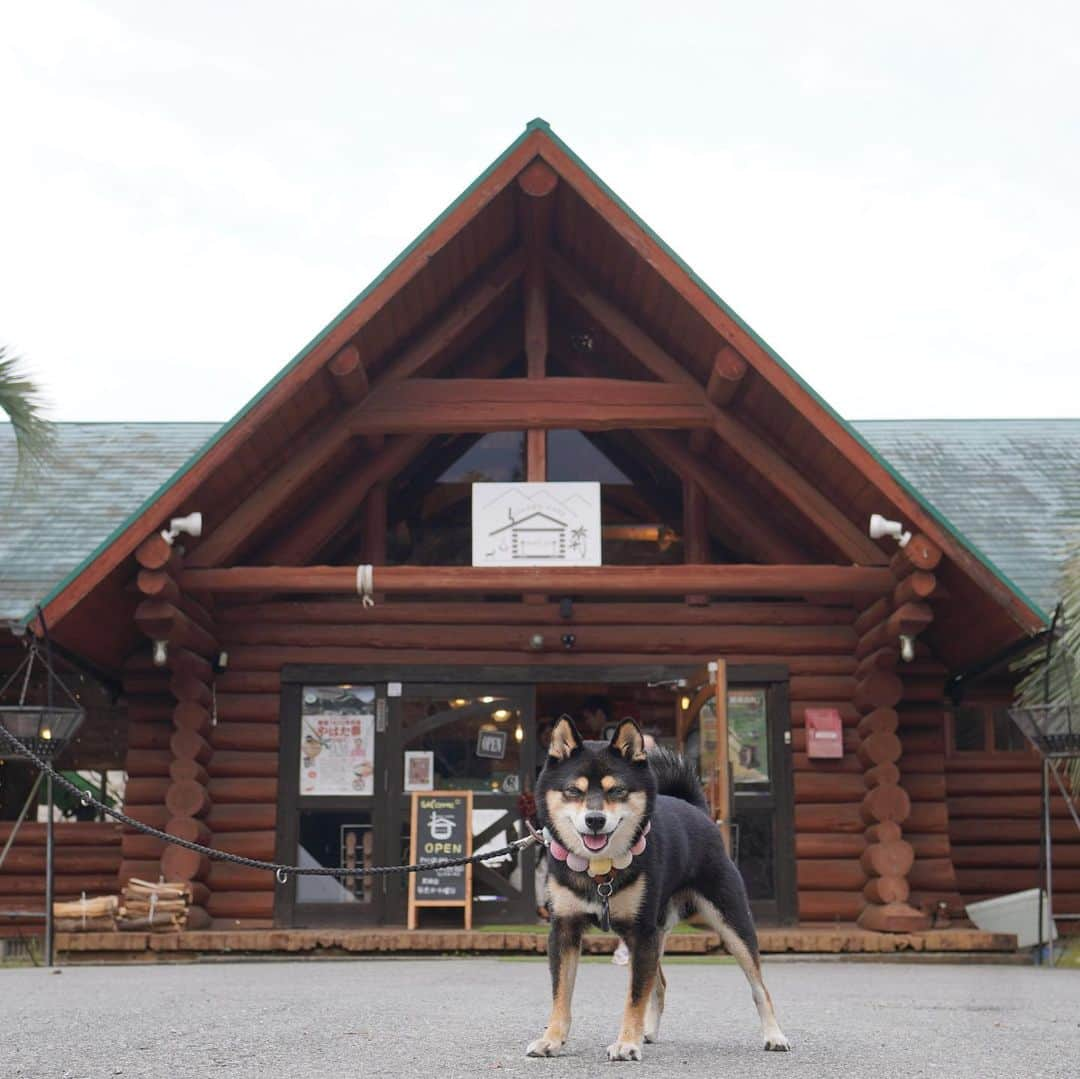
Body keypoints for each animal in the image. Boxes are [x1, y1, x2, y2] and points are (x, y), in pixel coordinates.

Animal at [527, 717, 790, 1062]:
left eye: (617, 790)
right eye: (573, 791)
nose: (595, 820)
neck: (600, 869)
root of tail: (695, 809)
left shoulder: (642, 933)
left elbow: (634, 997)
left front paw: (626, 1043)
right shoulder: (565, 930)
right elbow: (562, 996)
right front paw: (552, 1040)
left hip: (731, 922)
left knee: (759, 987)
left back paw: (774, 1035)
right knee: (660, 983)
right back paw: (648, 1031)